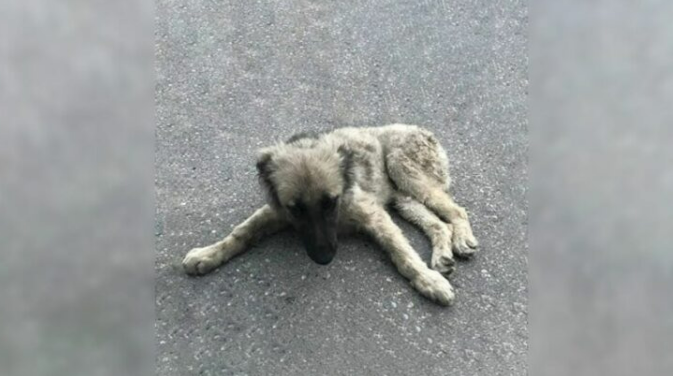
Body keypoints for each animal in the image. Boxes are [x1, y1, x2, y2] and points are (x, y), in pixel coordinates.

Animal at [182, 123, 478, 306]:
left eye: (330, 202)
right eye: (296, 208)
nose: (324, 259)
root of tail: (423, 130)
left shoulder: (374, 215)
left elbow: (403, 253)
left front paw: (427, 281)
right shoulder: (277, 212)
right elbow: (242, 231)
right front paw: (208, 254)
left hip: (403, 170)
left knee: (456, 210)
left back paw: (461, 239)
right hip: (403, 199)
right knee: (438, 224)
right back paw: (442, 254)